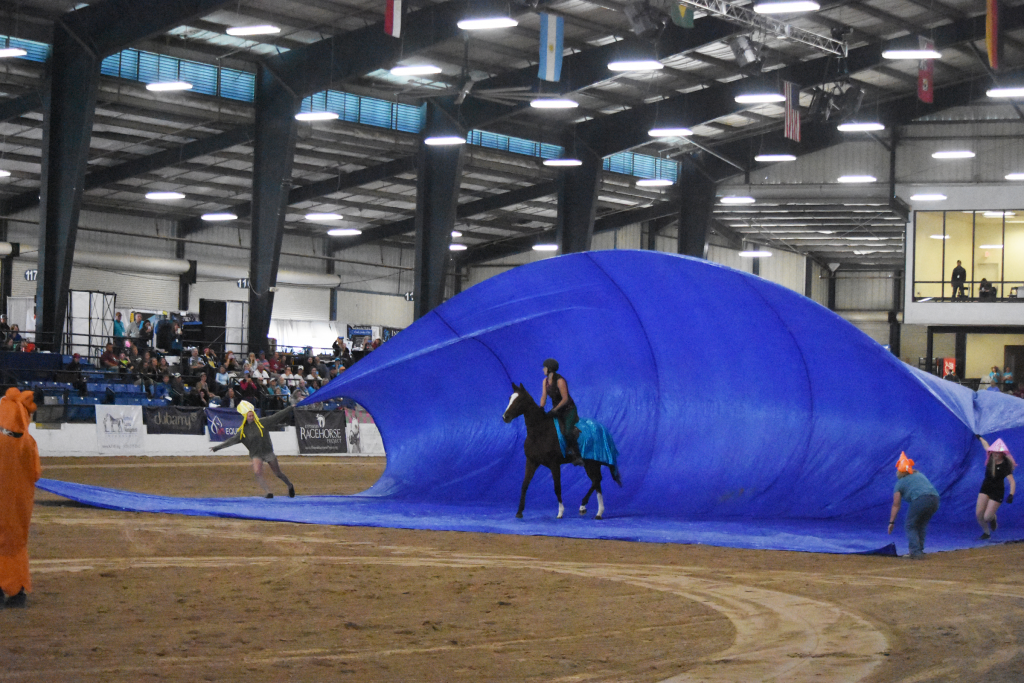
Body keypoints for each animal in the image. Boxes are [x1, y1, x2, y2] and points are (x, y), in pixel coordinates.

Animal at [499, 382, 618, 520]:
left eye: (519, 400)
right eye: (510, 398)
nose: (505, 417)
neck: (540, 431)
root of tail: (602, 428)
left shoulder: (554, 464)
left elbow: (557, 487)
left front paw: (560, 512)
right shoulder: (531, 462)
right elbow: (524, 485)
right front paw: (519, 512)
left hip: (591, 463)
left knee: (597, 480)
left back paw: (591, 509)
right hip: (591, 463)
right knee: (597, 482)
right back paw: (593, 510)